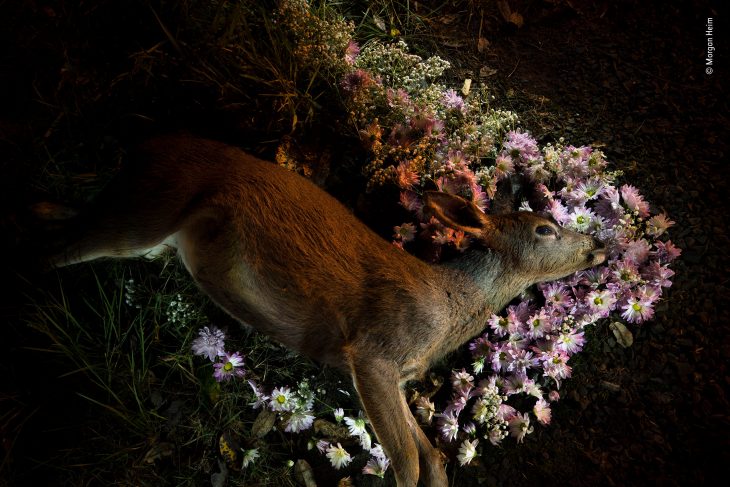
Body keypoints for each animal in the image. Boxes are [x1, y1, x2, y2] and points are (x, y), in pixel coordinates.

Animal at [44, 136, 604, 487]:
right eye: (544, 229)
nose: (598, 244)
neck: (446, 305)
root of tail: (143, 147)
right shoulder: (374, 350)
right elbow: (408, 463)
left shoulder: (397, 375)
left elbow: (433, 460)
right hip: (148, 210)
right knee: (53, 247)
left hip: (143, 226)